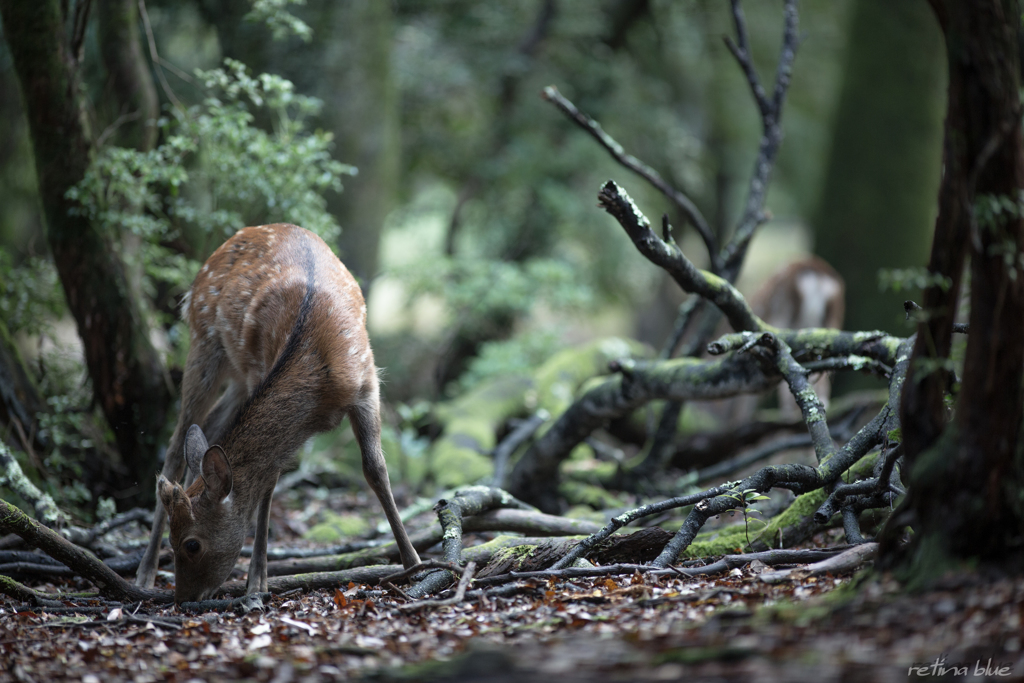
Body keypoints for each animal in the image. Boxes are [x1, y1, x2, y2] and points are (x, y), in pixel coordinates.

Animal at [136, 223, 419, 598]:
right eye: (174, 537)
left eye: (191, 544)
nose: (183, 599)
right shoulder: (260, 369)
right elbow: (269, 481)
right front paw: (257, 581)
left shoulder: (367, 385)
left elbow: (375, 470)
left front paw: (413, 562)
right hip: (204, 343)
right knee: (174, 447)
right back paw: (144, 572)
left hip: (234, 374)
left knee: (206, 429)